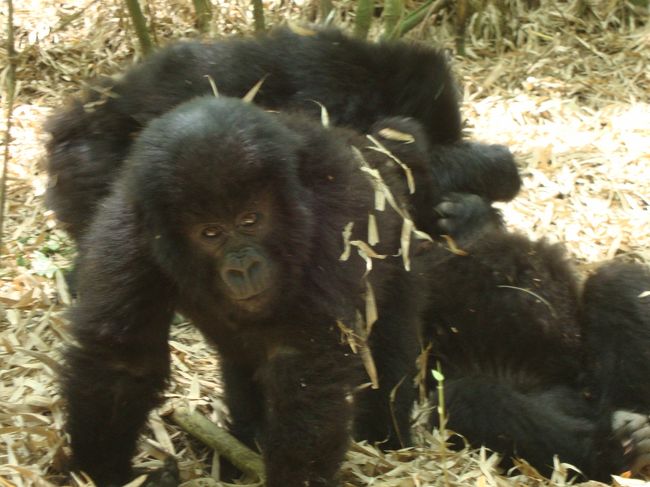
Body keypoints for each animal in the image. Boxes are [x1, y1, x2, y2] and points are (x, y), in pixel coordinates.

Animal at [62, 96, 436, 487]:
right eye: (210, 233)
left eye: (250, 220)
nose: (243, 268)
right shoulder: (130, 238)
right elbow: (122, 362)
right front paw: (98, 472)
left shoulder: (326, 232)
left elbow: (305, 371)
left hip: (401, 251)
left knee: (387, 350)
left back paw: (386, 437)